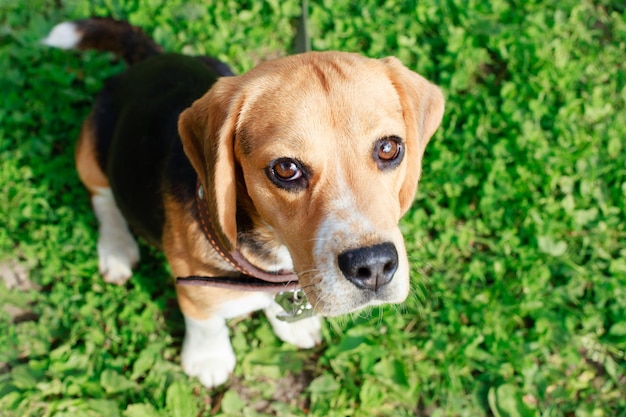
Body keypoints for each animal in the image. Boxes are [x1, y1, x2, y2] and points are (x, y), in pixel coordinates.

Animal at [44, 17, 442, 386]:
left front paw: (292, 325)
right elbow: (204, 320)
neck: (276, 254)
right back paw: (115, 249)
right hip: (89, 151)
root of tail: (151, 59)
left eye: (389, 148)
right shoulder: (193, 283)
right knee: (103, 199)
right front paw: (208, 358)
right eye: (285, 169)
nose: (373, 266)